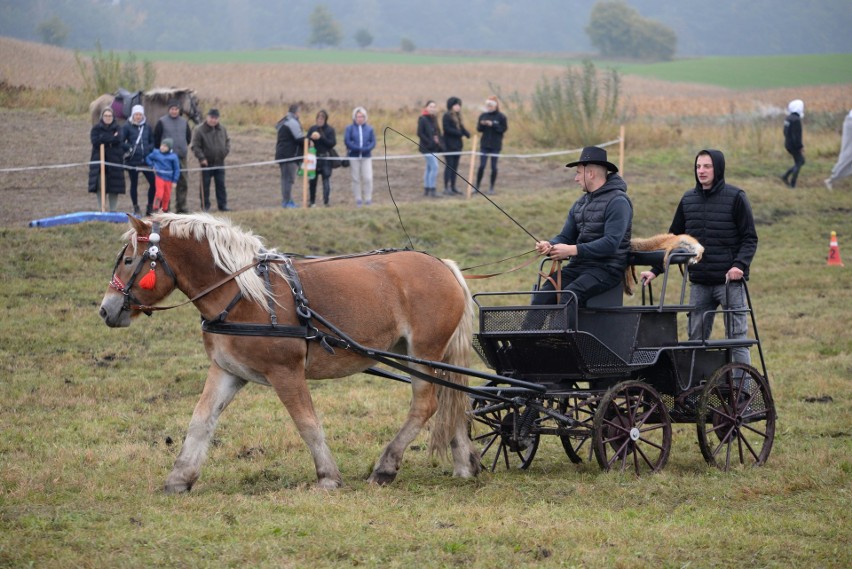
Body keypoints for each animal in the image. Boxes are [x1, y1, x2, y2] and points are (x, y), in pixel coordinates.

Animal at [97, 213, 482, 492]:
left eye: (129, 260)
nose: (105, 309)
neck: (244, 294)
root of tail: (444, 265)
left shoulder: (286, 372)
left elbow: (307, 423)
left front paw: (327, 477)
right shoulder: (227, 370)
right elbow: (201, 421)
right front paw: (180, 478)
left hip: (424, 351)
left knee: (426, 405)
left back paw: (386, 466)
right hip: (425, 356)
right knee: (454, 401)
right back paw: (464, 464)